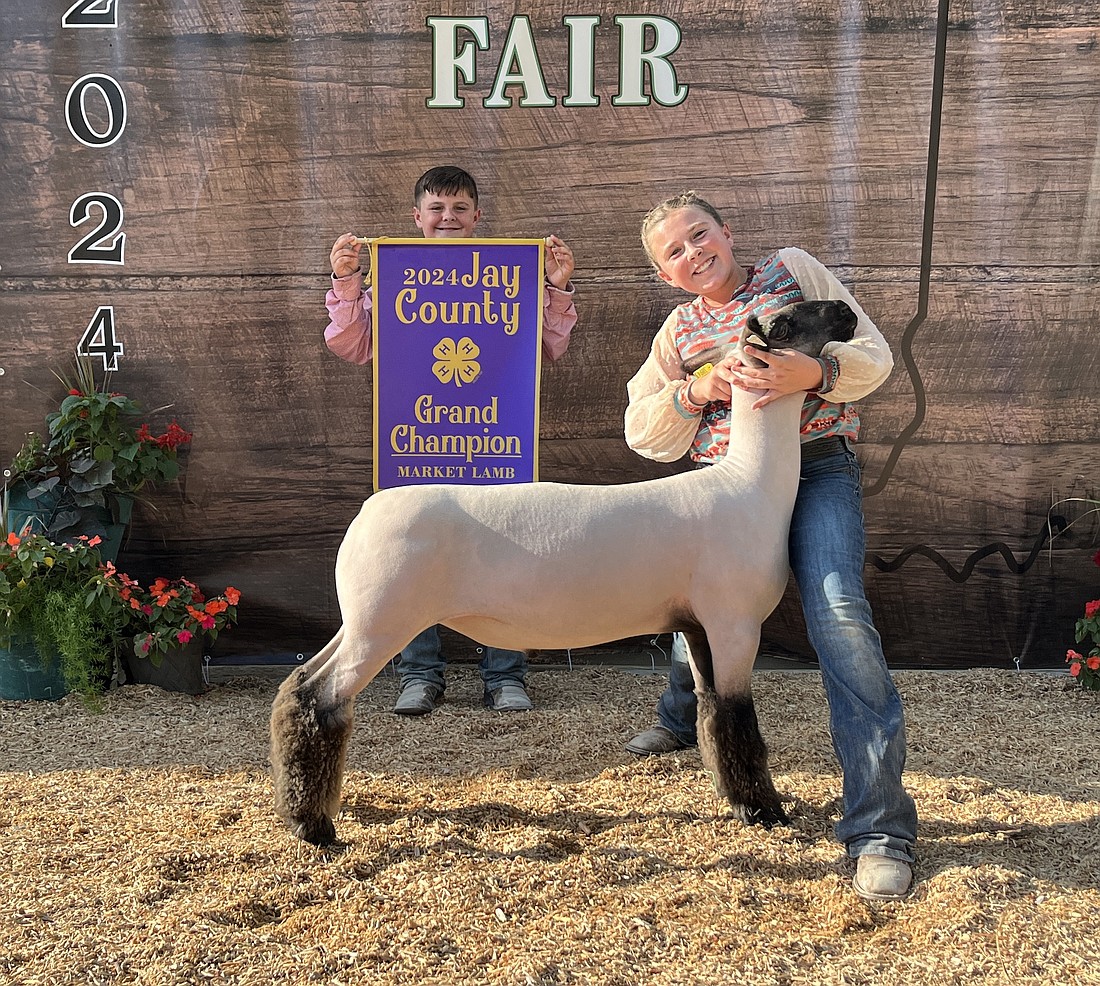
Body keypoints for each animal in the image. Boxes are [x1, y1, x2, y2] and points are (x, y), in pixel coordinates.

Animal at [270, 297, 853, 845]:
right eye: (786, 323)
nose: (846, 312)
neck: (750, 484)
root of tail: (369, 511)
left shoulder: (700, 627)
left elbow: (713, 716)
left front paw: (740, 804)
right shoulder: (735, 623)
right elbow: (737, 718)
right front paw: (766, 811)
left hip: (363, 617)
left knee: (297, 686)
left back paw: (301, 809)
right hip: (385, 621)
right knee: (322, 697)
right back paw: (313, 827)